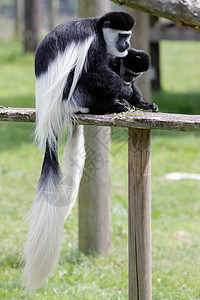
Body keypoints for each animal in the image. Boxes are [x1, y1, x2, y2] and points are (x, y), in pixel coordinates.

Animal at [22, 12, 134, 292]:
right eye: (122, 35)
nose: (127, 46)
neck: (97, 26)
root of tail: (49, 119)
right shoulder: (93, 44)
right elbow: (95, 70)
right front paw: (126, 90)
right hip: (72, 96)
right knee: (84, 75)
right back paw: (110, 105)